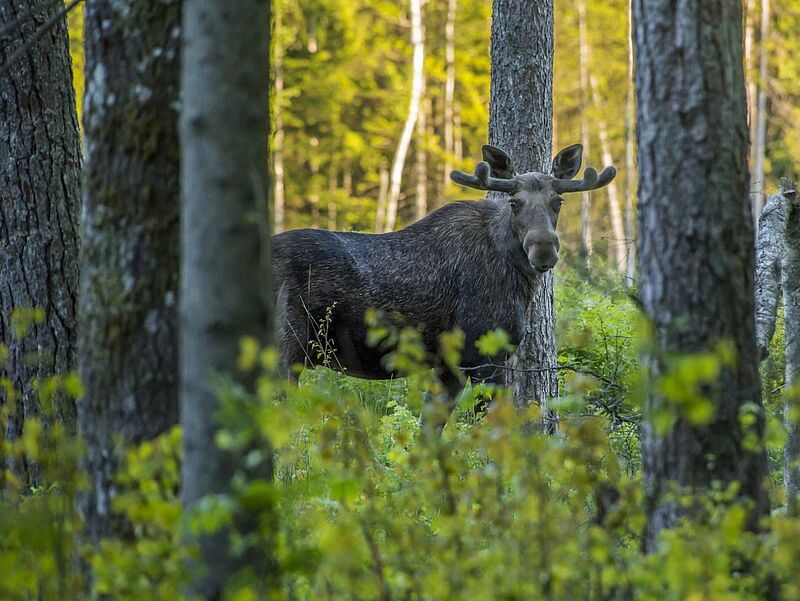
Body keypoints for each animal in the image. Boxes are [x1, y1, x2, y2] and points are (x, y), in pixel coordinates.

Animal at [272, 144, 616, 420]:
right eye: (514, 202)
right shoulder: (484, 353)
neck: (520, 282)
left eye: (558, 202)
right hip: (285, 348)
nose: (543, 248)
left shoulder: (449, 365)